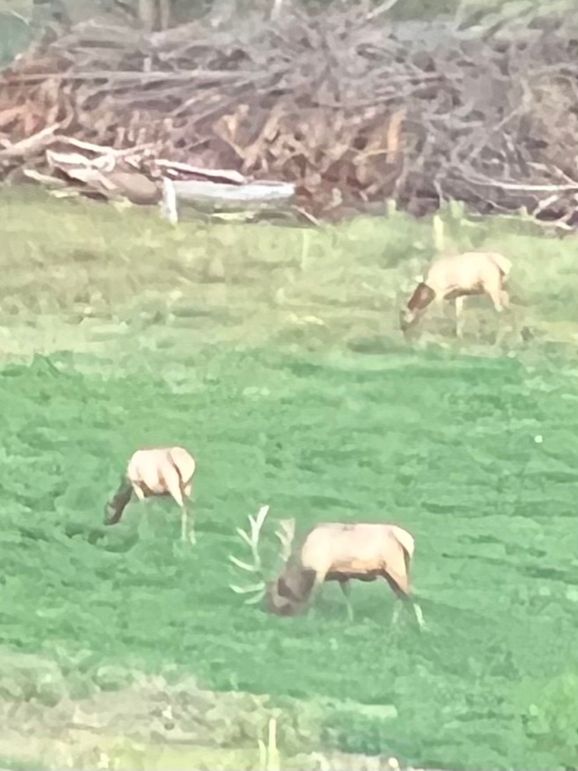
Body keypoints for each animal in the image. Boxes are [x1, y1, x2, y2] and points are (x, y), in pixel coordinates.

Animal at [229, 506, 424, 628]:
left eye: (274, 595)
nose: (274, 613)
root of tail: (410, 541)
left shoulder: (321, 568)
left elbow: (314, 597)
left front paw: (308, 619)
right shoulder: (341, 575)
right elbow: (347, 596)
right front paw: (349, 619)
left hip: (395, 566)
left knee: (410, 596)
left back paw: (420, 626)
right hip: (390, 571)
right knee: (400, 596)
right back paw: (395, 624)